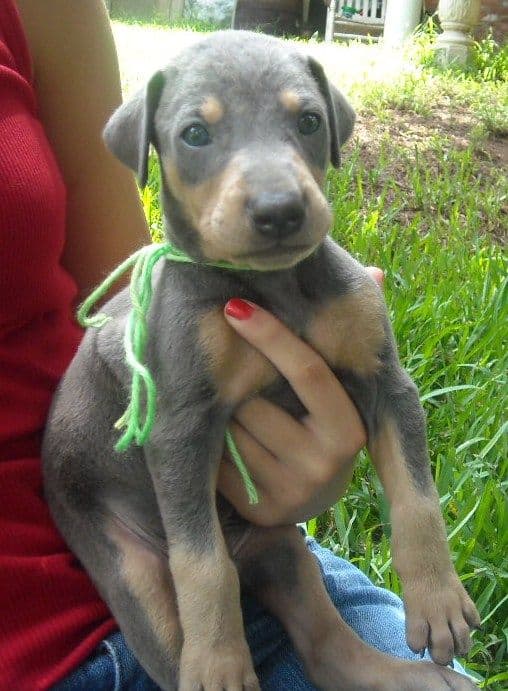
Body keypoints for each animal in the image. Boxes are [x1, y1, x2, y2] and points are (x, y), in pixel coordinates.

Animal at [43, 29, 480, 688]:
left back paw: (410, 675)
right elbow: (202, 564)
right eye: (195, 133)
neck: (273, 289)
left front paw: (438, 601)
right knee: (189, 603)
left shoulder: (386, 381)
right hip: (130, 573)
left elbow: (417, 497)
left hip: (284, 549)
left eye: (309, 121)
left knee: (326, 646)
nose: (280, 211)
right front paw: (219, 662)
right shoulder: (180, 427)